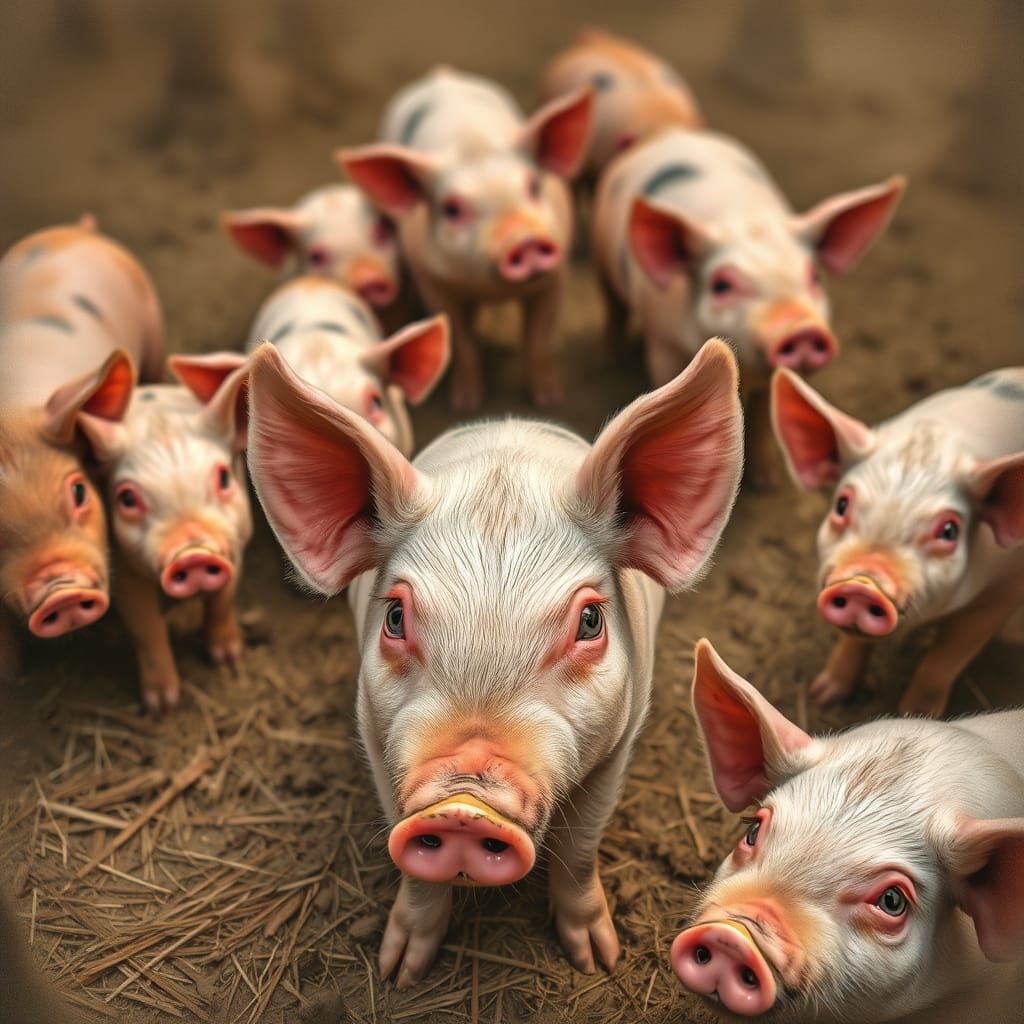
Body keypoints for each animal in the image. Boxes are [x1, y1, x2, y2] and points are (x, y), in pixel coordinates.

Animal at [77, 354, 252, 713]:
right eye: (127, 498)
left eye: (224, 478)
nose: (193, 554)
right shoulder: (124, 567)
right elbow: (147, 626)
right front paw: (162, 704)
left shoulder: (236, 544)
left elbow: (222, 601)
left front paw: (228, 656)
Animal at [246, 337, 744, 985]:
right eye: (395, 617)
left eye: (590, 622)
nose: (463, 806)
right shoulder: (373, 732)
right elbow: (411, 867)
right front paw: (400, 972)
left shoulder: (621, 736)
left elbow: (580, 849)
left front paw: (596, 961)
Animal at [338, 67, 594, 413]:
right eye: (452, 209)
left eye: (534, 187)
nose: (523, 240)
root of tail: (441, 73)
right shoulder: (431, 279)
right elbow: (460, 342)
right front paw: (465, 405)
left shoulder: (555, 276)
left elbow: (539, 340)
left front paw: (549, 400)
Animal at [592, 127, 905, 487]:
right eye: (722, 285)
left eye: (814, 277)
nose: (801, 328)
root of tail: (670, 132)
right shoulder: (663, 345)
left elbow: (764, 418)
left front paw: (768, 482)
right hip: (603, 262)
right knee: (612, 305)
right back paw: (608, 360)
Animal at [771, 366, 1024, 718]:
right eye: (841, 505)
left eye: (949, 530)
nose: (861, 584)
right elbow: (854, 642)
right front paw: (822, 694)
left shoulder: (1003, 591)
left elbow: (942, 662)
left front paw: (917, 717)